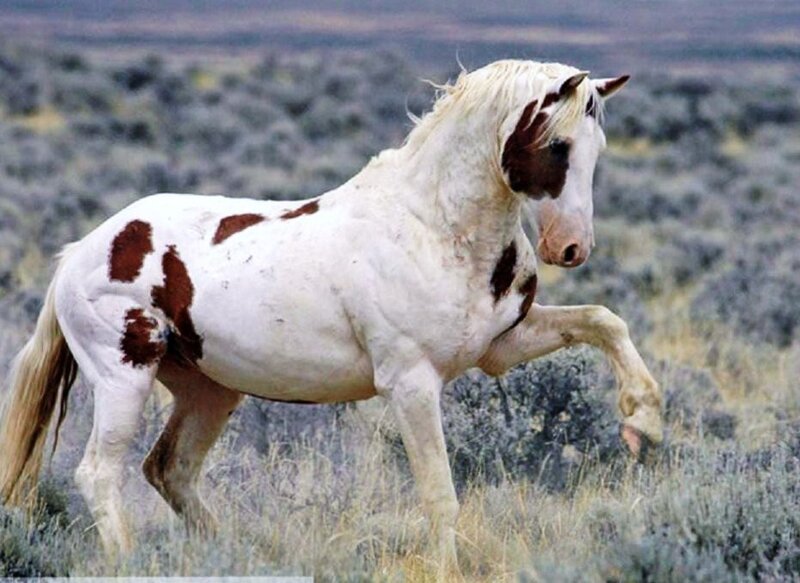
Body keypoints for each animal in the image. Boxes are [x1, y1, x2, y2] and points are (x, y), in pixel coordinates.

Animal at [0, 59, 662, 576]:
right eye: (557, 146)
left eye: (598, 149)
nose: (570, 248)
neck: (434, 226)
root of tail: (79, 253)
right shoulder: (411, 382)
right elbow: (439, 495)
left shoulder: (502, 345)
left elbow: (604, 320)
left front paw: (644, 424)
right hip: (124, 378)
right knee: (99, 474)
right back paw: (133, 562)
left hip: (209, 389)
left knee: (170, 469)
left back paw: (237, 557)